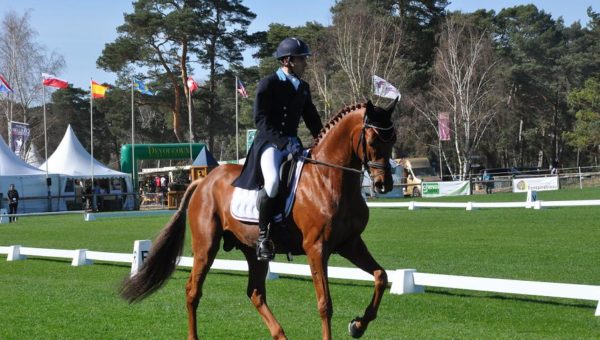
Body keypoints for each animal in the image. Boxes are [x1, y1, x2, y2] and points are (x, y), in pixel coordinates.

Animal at [120, 97, 398, 338]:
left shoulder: (350, 243)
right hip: (206, 246)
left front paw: (357, 326)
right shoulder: (317, 248)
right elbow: (324, 303)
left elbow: (381, 277)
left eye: (393, 138)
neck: (328, 180)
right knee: (192, 291)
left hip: (252, 250)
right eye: (373, 140)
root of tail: (203, 181)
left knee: (255, 292)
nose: (383, 184)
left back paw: (281, 335)